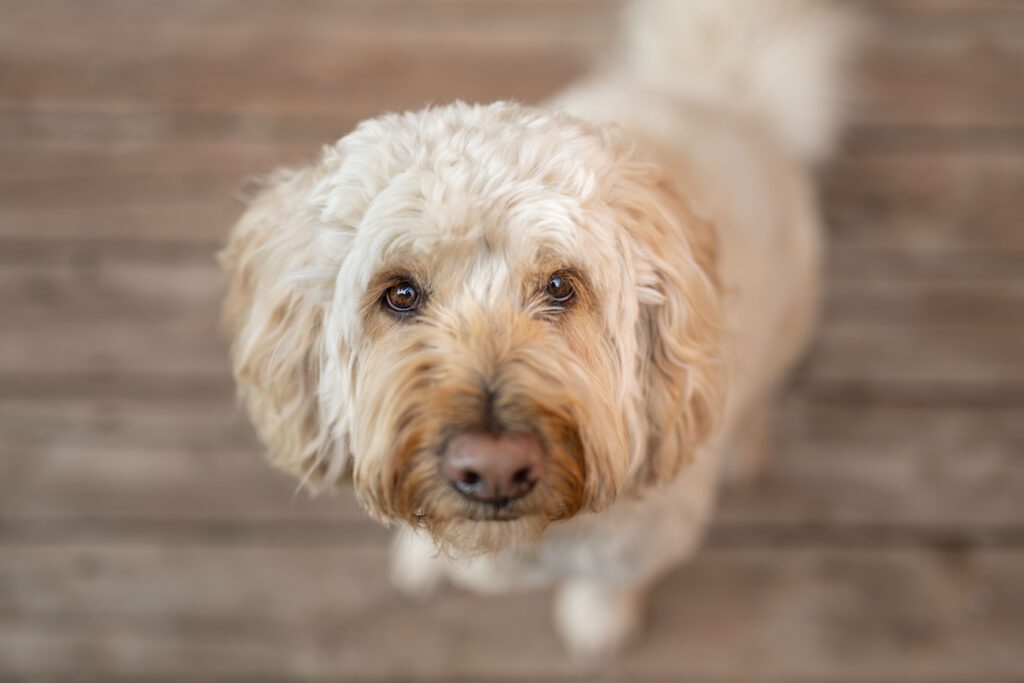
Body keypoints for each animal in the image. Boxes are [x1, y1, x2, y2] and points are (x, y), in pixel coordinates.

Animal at [222, 0, 856, 655]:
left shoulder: (641, 546)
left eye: (560, 286)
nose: (493, 466)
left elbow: (605, 587)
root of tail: (717, 96)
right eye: (400, 293)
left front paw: (596, 627)